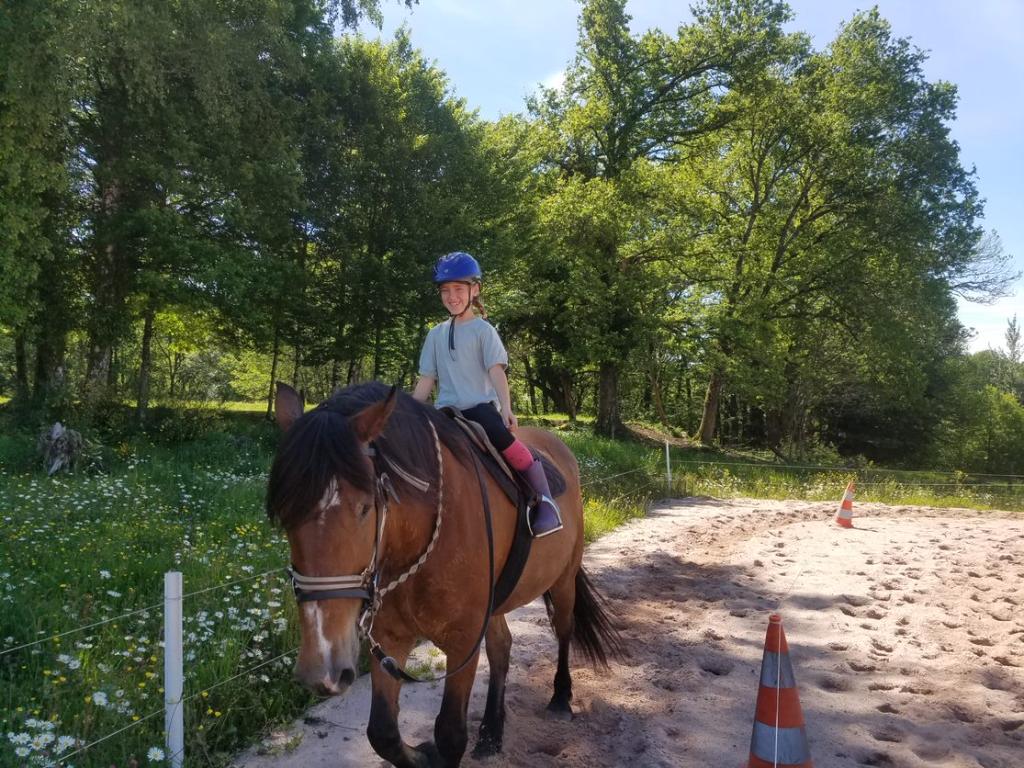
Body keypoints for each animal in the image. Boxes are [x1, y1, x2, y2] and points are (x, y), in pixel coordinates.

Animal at [266, 382, 614, 765]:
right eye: (282, 513)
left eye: (365, 507)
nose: (323, 668)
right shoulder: (390, 637)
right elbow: (383, 733)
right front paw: (423, 754)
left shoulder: (463, 640)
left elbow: (449, 734)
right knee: (501, 647)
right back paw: (491, 732)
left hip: (564, 579)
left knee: (564, 629)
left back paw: (561, 698)